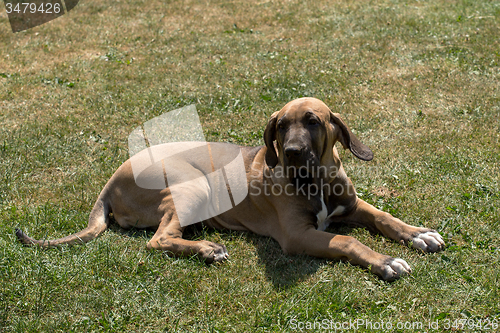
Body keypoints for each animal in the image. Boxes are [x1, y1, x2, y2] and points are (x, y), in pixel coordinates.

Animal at [16, 96, 446, 280]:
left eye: (313, 121)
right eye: (281, 126)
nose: (291, 153)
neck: (317, 180)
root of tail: (109, 182)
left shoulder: (353, 205)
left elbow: (385, 217)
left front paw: (418, 234)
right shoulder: (297, 235)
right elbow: (346, 240)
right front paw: (385, 261)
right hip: (194, 187)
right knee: (158, 239)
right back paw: (207, 249)